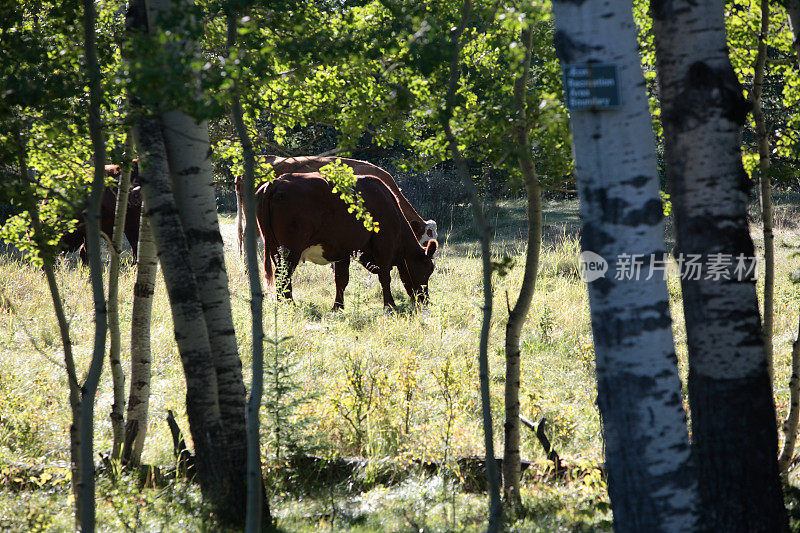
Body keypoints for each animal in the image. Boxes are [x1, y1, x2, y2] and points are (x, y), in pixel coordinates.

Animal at [256, 172, 438, 310]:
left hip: (274, 248)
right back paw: (290, 305)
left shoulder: (342, 252)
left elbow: (341, 280)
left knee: (281, 276)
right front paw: (390, 305)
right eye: (428, 269)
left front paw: (338, 307)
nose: (426, 301)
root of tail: (277, 182)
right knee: (284, 276)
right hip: (290, 249)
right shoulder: (384, 247)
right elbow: (385, 277)